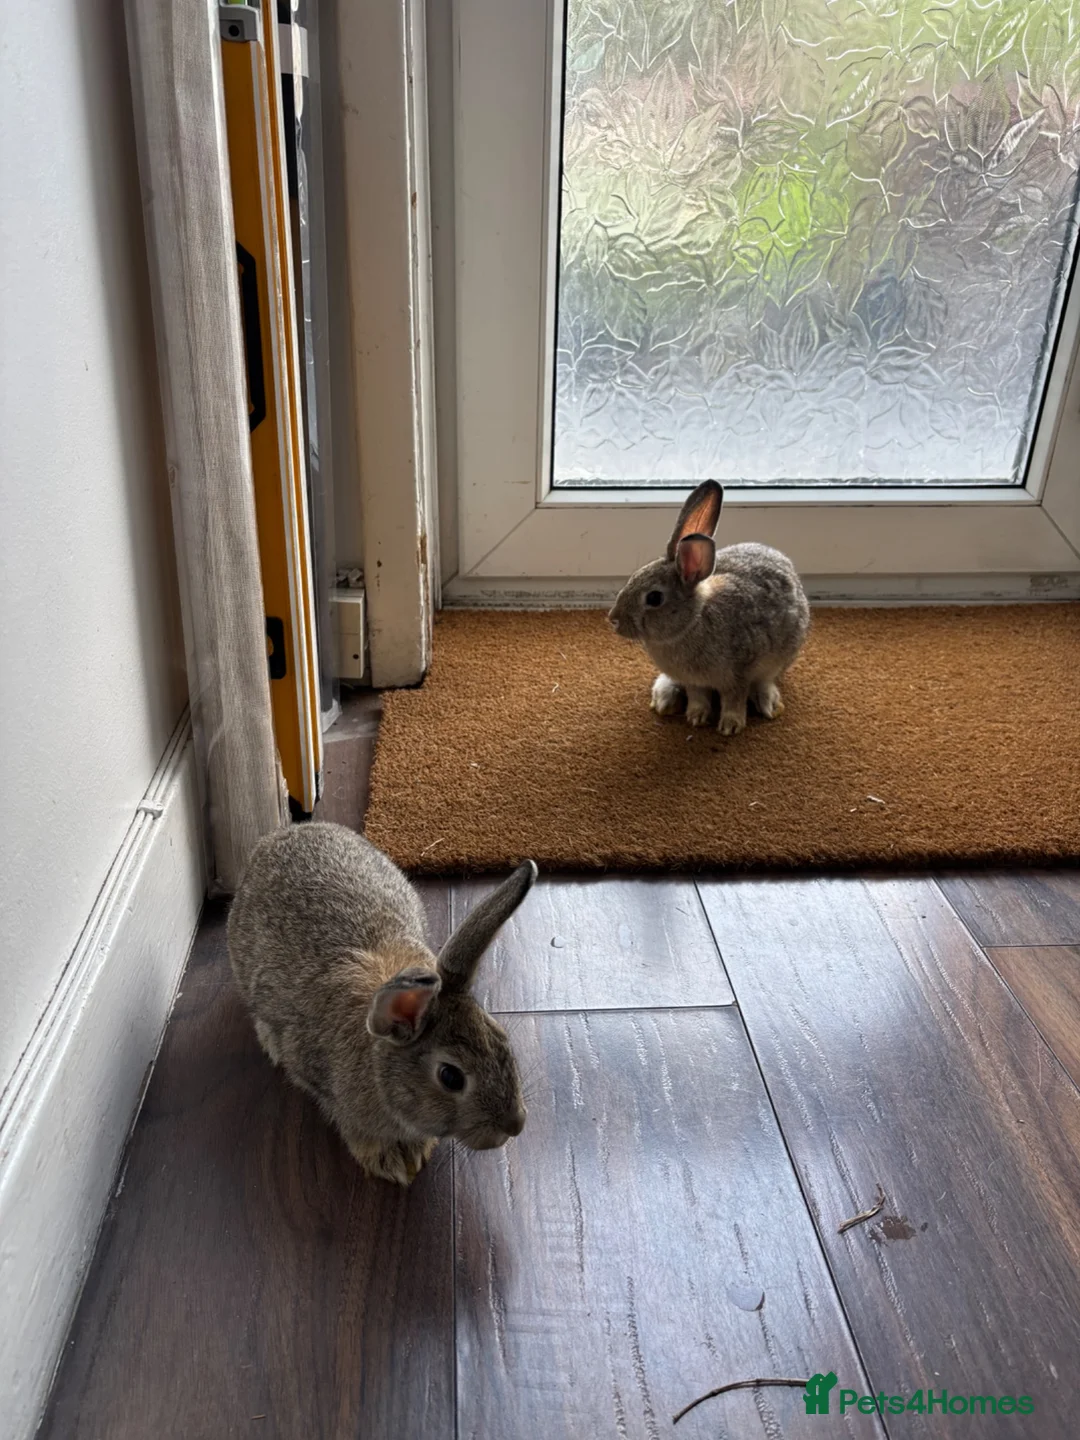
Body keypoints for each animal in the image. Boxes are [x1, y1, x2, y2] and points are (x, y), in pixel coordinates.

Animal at [227, 820, 537, 1185]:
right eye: (450, 1077)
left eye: (500, 1037)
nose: (515, 1125)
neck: (376, 1061)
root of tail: (291, 830)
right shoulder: (316, 1077)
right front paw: (390, 1159)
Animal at [607, 479, 809, 736]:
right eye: (632, 577)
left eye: (654, 598)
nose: (613, 619)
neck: (692, 622)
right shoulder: (694, 681)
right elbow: (698, 697)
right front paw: (696, 718)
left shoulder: (739, 673)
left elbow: (734, 699)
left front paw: (730, 726)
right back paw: (665, 699)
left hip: (784, 654)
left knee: (765, 681)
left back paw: (768, 704)